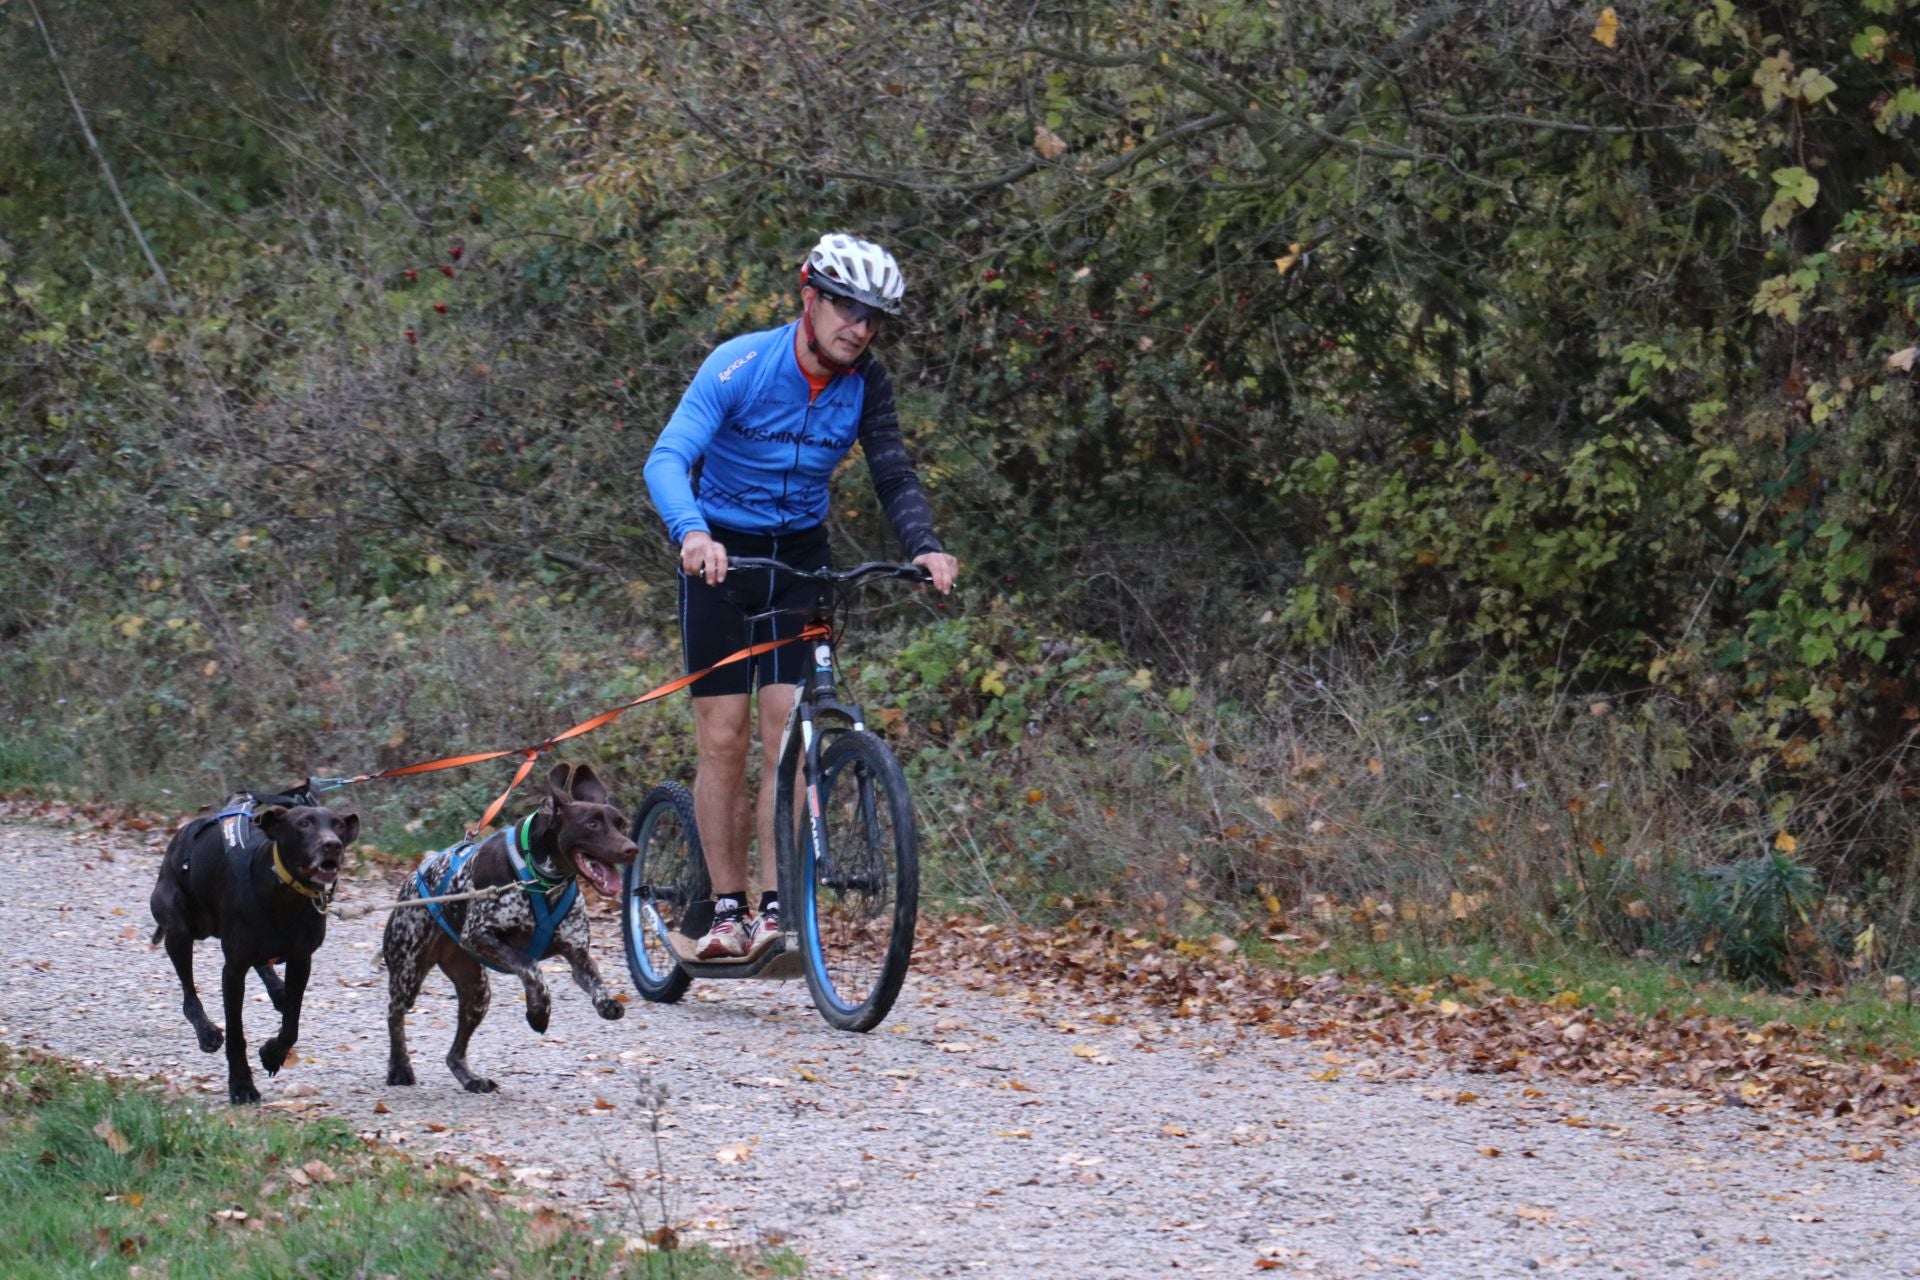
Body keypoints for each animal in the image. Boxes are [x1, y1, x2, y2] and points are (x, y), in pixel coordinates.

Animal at [147, 786, 359, 1105]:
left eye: (338, 826)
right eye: (303, 823)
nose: (332, 845)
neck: (284, 894)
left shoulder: (301, 961)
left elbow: (291, 1025)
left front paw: (272, 1053)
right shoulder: (233, 970)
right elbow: (236, 1033)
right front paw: (241, 1085)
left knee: (264, 968)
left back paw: (277, 991)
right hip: (180, 928)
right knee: (189, 994)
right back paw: (206, 1032)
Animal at [382, 767, 637, 1097]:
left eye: (622, 824)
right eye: (592, 823)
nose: (632, 849)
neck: (543, 879)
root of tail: (411, 880)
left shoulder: (578, 955)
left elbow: (595, 980)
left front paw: (605, 1002)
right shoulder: (478, 936)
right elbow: (530, 967)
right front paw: (539, 1010)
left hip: (476, 993)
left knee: (454, 1053)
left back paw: (470, 1078)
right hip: (408, 973)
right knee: (394, 1014)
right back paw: (399, 1067)